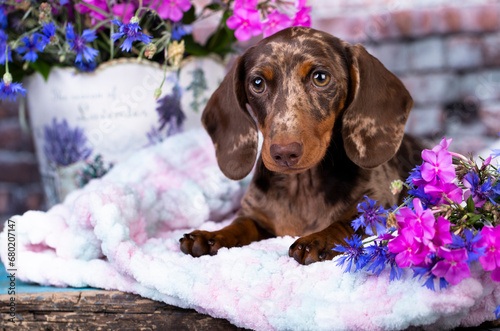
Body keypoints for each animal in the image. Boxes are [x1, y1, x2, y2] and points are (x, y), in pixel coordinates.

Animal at [180, 26, 422, 266]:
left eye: (321, 78)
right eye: (257, 83)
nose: (284, 153)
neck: (301, 187)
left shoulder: (378, 207)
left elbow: (346, 223)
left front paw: (318, 239)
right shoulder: (255, 217)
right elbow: (239, 226)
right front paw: (210, 236)